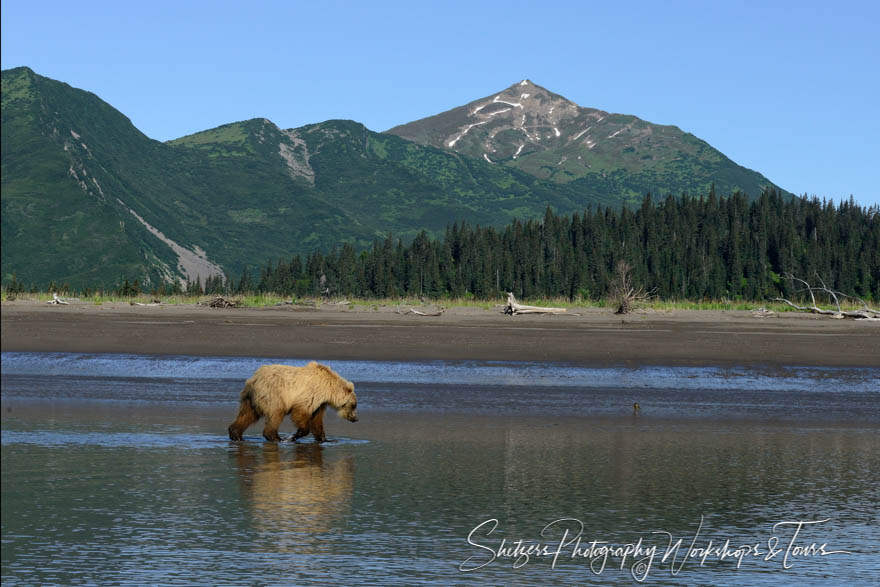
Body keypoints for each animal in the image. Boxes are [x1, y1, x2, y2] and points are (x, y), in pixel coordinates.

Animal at [227, 362, 358, 440]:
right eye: (353, 405)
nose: (355, 418)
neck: (329, 389)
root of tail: (253, 379)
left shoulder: (320, 402)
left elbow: (316, 419)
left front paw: (323, 438)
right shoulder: (311, 394)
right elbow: (300, 412)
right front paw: (296, 435)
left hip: (251, 399)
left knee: (247, 415)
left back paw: (236, 434)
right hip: (273, 394)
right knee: (276, 413)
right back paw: (276, 437)